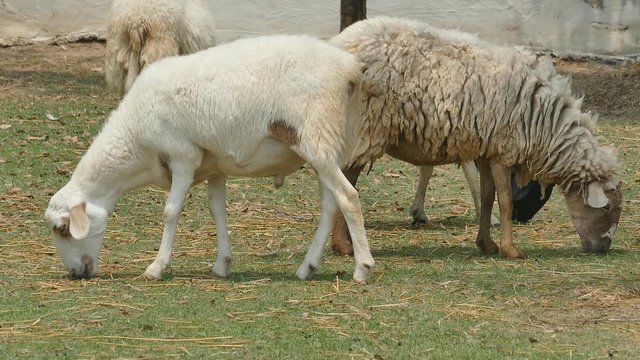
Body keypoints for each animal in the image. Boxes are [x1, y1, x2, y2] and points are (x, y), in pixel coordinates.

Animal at [43, 34, 376, 282]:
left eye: (62, 229)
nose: (75, 273)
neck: (135, 139)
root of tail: (349, 68)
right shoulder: (214, 165)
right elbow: (217, 210)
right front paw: (222, 264)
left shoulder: (183, 156)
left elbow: (170, 211)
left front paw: (156, 267)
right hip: (331, 143)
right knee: (330, 205)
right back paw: (307, 267)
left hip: (317, 139)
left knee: (348, 198)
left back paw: (362, 268)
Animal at [332, 17, 624, 258]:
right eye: (607, 209)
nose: (602, 249)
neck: (544, 121)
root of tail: (338, 43)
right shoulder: (504, 150)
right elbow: (505, 200)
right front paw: (511, 250)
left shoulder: (487, 149)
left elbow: (486, 196)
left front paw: (487, 244)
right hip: (365, 128)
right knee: (347, 182)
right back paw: (343, 246)